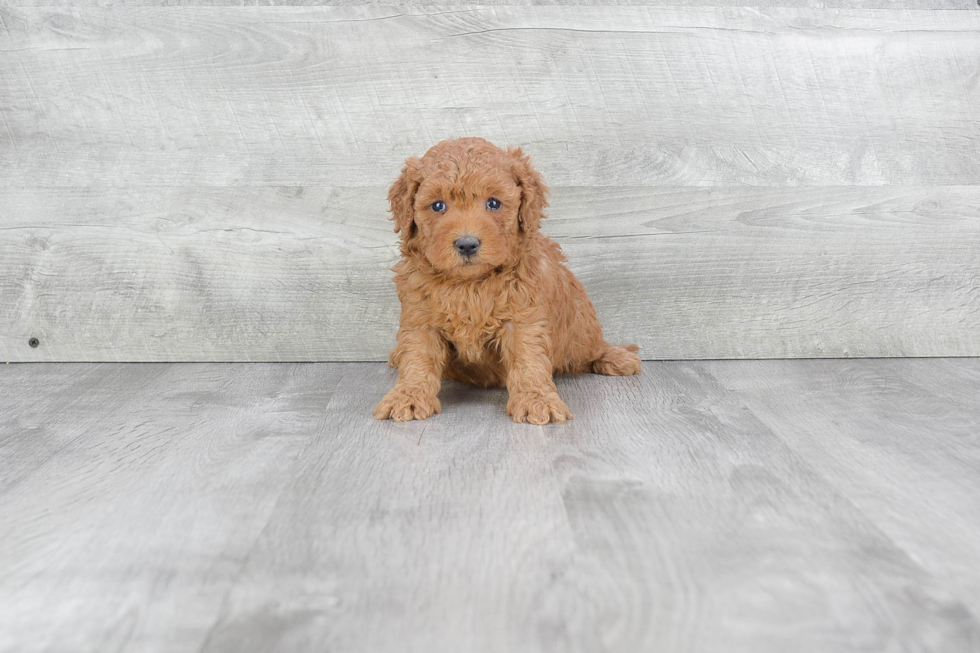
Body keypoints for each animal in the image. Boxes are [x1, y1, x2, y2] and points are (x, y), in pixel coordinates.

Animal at [372, 136, 640, 426]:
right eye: (438, 205)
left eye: (493, 203)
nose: (467, 244)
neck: (469, 284)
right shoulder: (421, 319)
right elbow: (417, 358)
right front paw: (407, 396)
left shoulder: (523, 318)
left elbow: (528, 360)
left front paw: (536, 400)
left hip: (581, 327)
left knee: (591, 347)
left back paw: (616, 357)